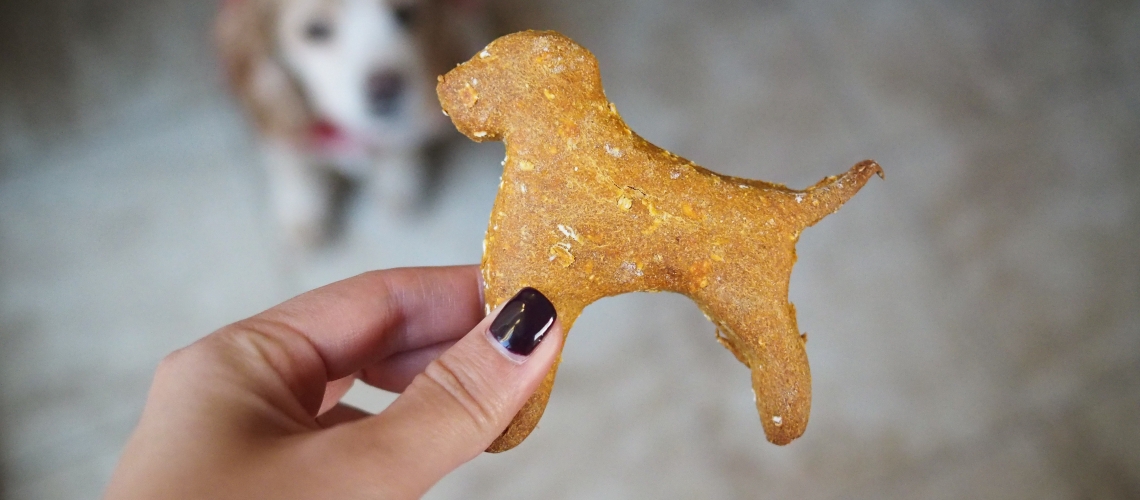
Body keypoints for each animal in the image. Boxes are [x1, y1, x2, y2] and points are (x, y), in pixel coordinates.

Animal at [216, 0, 485, 247]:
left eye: (405, 14)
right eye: (315, 30)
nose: (386, 89)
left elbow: (400, 147)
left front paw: (396, 183)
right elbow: (294, 166)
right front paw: (303, 214)